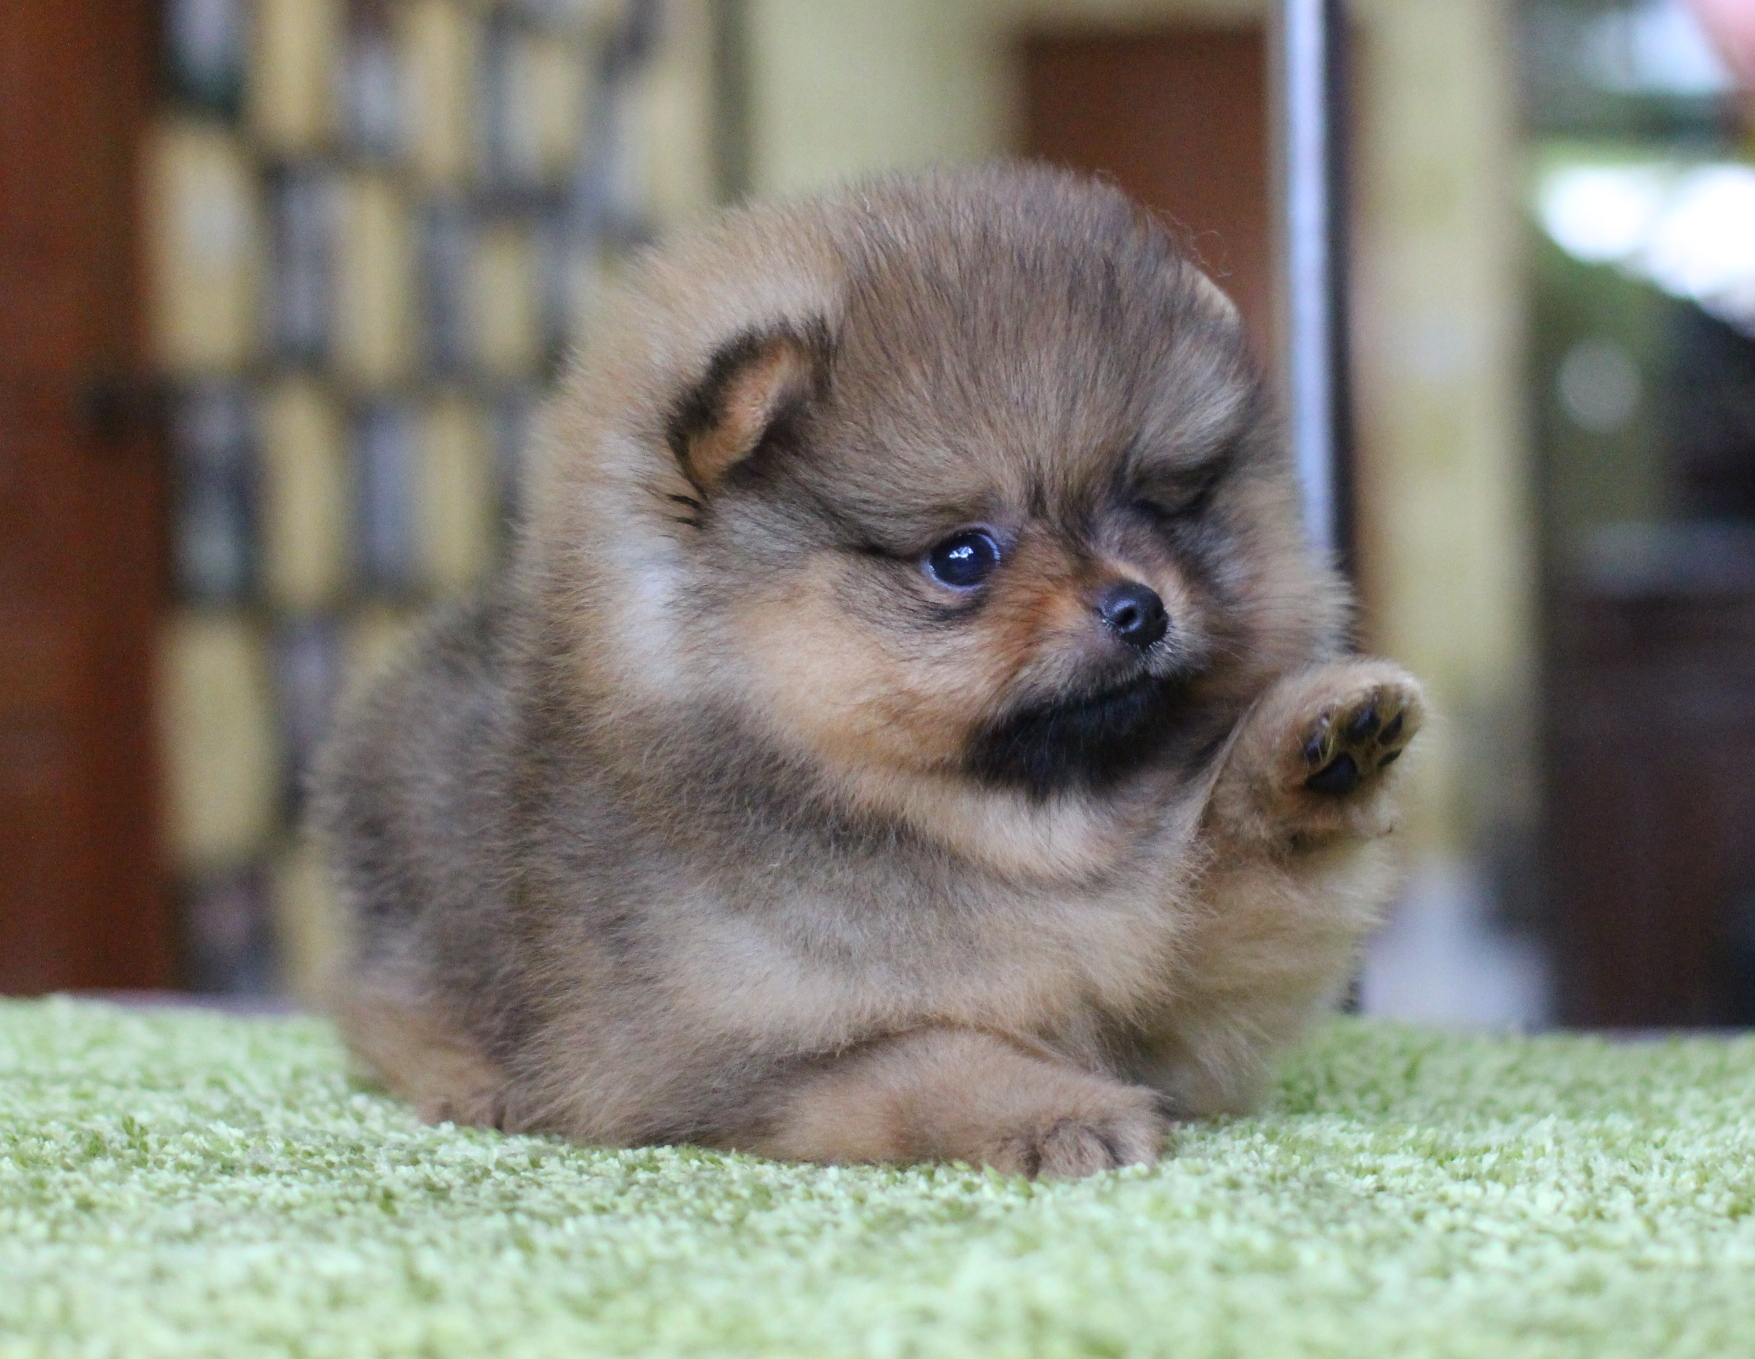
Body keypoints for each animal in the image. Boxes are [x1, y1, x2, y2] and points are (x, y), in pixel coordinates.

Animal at [316, 165, 1423, 1178]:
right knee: (379, 1004)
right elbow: (932, 1053)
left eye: (1158, 504)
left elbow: (1228, 895)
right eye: (963, 556)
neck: (994, 836)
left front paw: (1319, 745)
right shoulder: (705, 1060)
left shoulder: (1182, 1006)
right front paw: (1059, 1112)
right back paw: (471, 1079)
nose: (1139, 607)